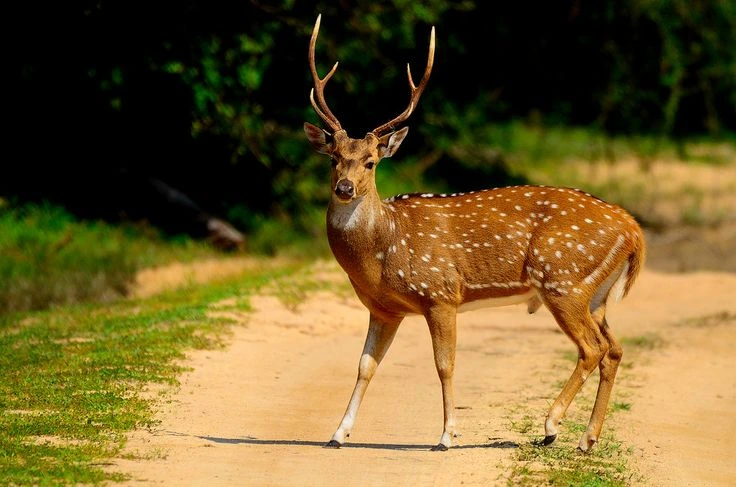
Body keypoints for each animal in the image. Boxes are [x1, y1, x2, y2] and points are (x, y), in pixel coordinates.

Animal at [303, 14, 646, 452]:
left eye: (371, 162)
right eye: (333, 159)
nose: (345, 188)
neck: (384, 252)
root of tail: (633, 228)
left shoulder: (440, 293)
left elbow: (444, 365)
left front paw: (446, 435)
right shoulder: (384, 308)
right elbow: (365, 365)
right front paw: (337, 433)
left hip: (563, 280)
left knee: (592, 347)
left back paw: (551, 426)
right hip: (595, 293)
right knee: (614, 349)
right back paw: (587, 439)